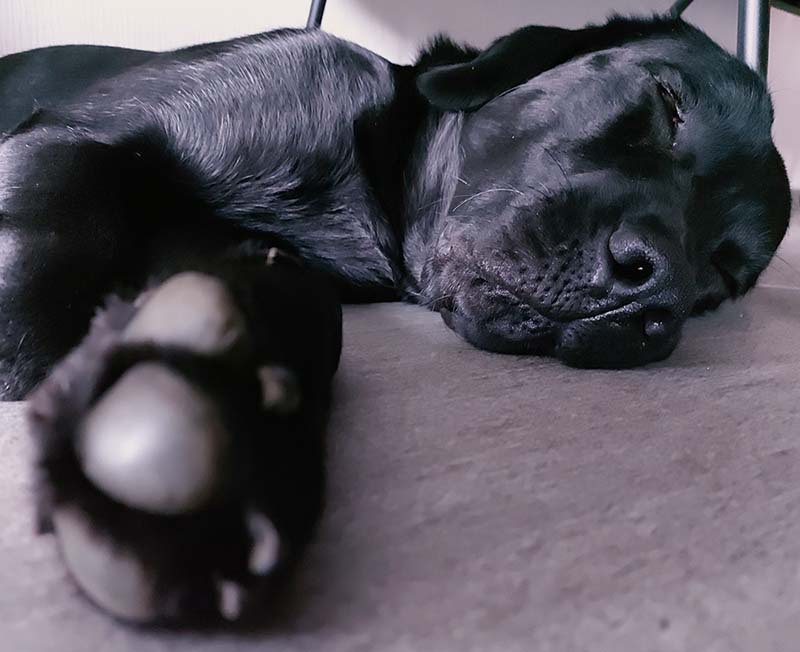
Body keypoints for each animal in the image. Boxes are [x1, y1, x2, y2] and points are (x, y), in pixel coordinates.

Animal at [0, 14, 791, 623]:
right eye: (668, 102)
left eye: (722, 274)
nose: (654, 295)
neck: (364, 184)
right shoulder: (78, 136)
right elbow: (46, 263)